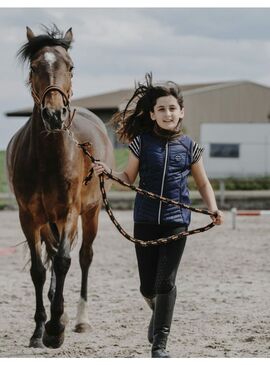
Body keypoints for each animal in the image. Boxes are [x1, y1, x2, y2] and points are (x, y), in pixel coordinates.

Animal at [5, 24, 114, 346]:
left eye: (71, 66)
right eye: (35, 66)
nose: (55, 115)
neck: (48, 159)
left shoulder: (69, 212)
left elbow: (65, 261)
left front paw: (55, 330)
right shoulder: (29, 217)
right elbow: (39, 270)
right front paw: (41, 328)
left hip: (90, 214)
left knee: (84, 257)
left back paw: (79, 319)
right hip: (48, 222)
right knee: (51, 256)